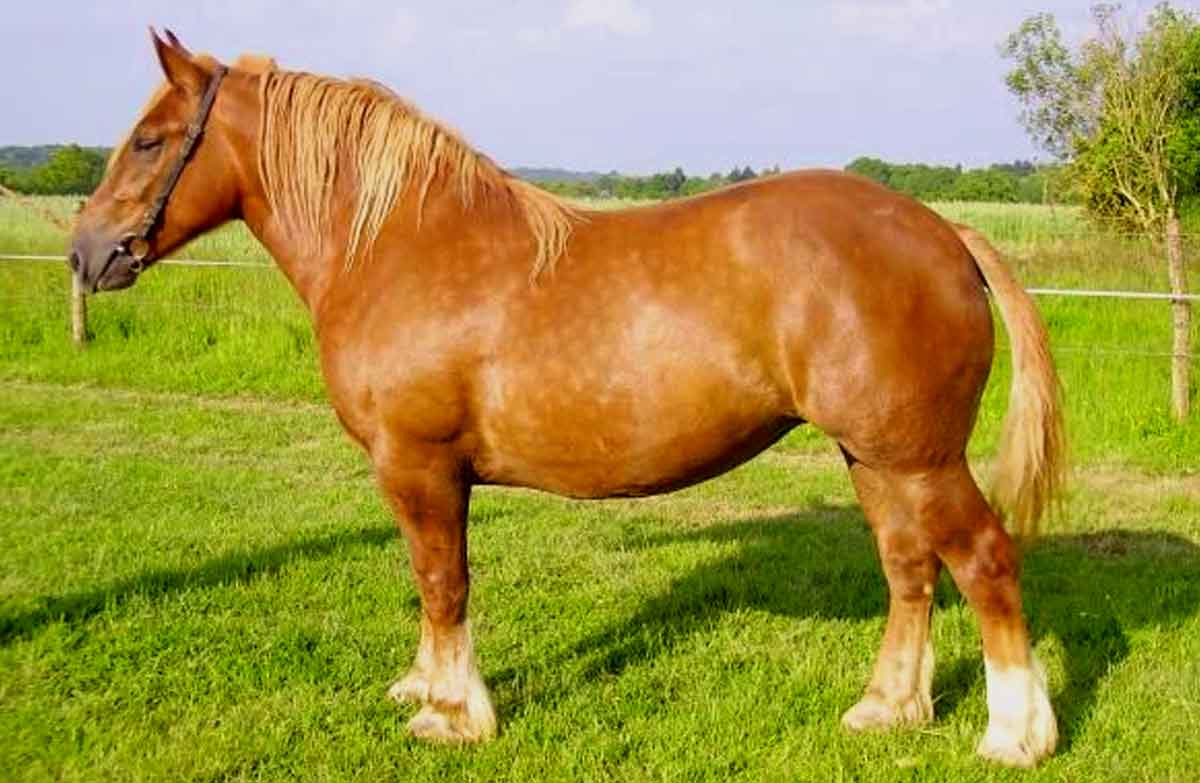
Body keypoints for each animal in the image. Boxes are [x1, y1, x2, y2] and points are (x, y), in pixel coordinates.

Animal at [70, 31, 1065, 767]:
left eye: (150, 140)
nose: (87, 251)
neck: (396, 244)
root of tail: (943, 232)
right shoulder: (421, 476)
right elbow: (427, 583)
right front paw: (422, 684)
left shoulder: (420, 466)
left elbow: (443, 580)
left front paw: (451, 713)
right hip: (874, 455)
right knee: (908, 566)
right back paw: (887, 708)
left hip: (920, 458)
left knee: (984, 561)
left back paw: (1014, 734)